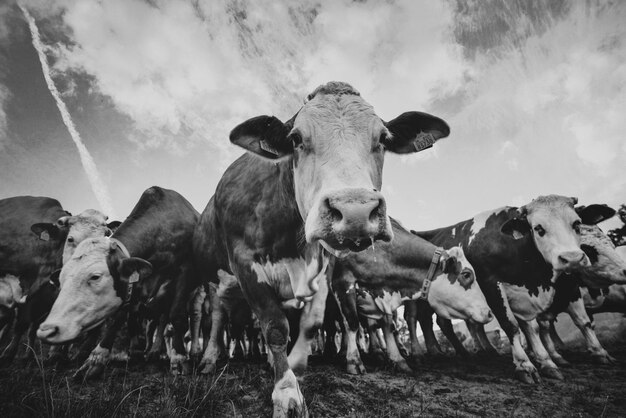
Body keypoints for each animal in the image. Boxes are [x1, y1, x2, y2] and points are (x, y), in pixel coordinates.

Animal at [37, 187, 197, 378]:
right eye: (62, 278)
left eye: (95, 276)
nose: (47, 330)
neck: (162, 229)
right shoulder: (134, 281)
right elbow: (120, 316)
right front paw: (97, 358)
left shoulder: (185, 270)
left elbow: (176, 316)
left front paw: (179, 358)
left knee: (164, 320)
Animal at [190, 81, 448, 418]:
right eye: (296, 139)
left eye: (382, 139)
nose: (355, 211)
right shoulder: (246, 265)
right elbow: (274, 328)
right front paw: (287, 394)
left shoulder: (324, 270)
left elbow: (310, 325)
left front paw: (296, 369)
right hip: (213, 279)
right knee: (219, 317)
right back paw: (209, 359)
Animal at [332, 219, 492, 376]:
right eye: (466, 274)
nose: (489, 313)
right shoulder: (343, 282)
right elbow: (352, 322)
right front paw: (354, 361)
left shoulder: (383, 295)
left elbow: (388, 324)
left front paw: (397, 359)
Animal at [412, 198, 592, 384]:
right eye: (538, 228)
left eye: (577, 224)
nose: (572, 258)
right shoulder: (491, 284)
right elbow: (510, 325)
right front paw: (524, 365)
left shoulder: (521, 297)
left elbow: (531, 328)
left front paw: (547, 362)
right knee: (422, 318)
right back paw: (434, 352)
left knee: (440, 322)